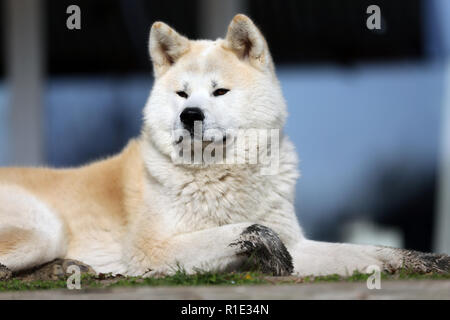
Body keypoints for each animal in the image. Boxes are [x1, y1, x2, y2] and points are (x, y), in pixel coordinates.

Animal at [0, 15, 450, 278]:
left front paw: (419, 261)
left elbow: (370, 252)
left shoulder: (301, 245)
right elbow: (241, 231)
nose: (190, 115)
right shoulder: (152, 251)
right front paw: (256, 240)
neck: (222, 176)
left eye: (219, 91)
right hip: (43, 230)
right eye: (183, 94)